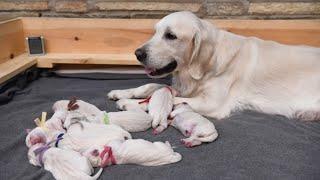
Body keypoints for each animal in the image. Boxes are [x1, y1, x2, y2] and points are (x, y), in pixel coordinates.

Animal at [108, 10, 320, 121]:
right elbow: (153, 87)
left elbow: (171, 98)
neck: (204, 67)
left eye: (170, 35)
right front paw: (122, 92)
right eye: (155, 32)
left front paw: (128, 103)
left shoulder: (213, 103)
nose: (137, 54)